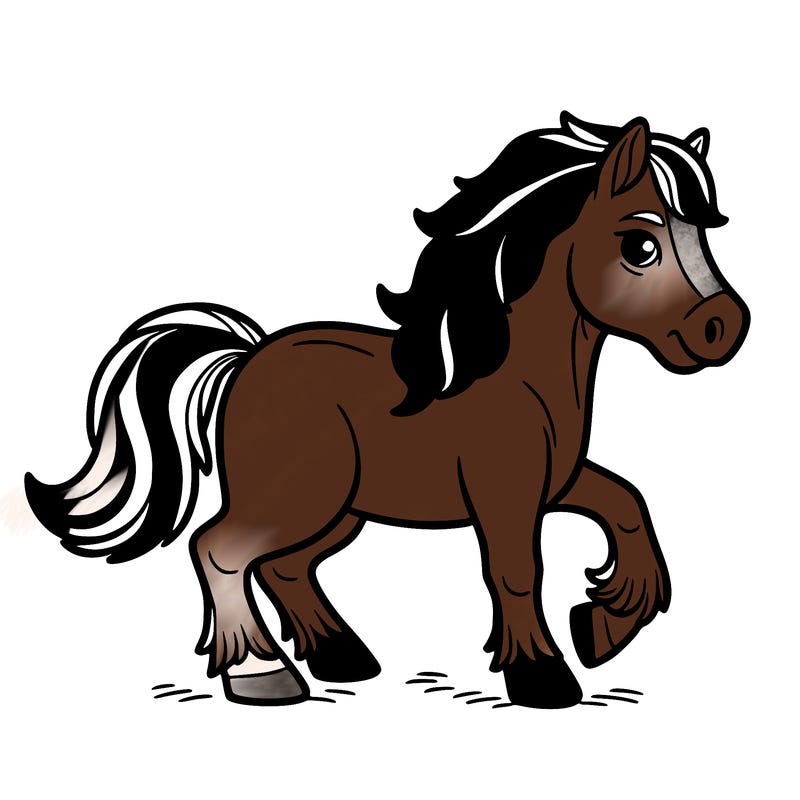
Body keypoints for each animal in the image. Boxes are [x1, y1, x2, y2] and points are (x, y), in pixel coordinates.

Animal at [25, 113, 750, 708]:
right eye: (641, 246)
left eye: (702, 237)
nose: (725, 328)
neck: (519, 375)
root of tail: (245, 359)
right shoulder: (505, 490)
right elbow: (517, 570)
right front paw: (543, 676)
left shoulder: (557, 479)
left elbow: (627, 506)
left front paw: (604, 626)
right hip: (297, 498)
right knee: (220, 549)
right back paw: (263, 675)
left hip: (340, 510)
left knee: (286, 567)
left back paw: (340, 657)